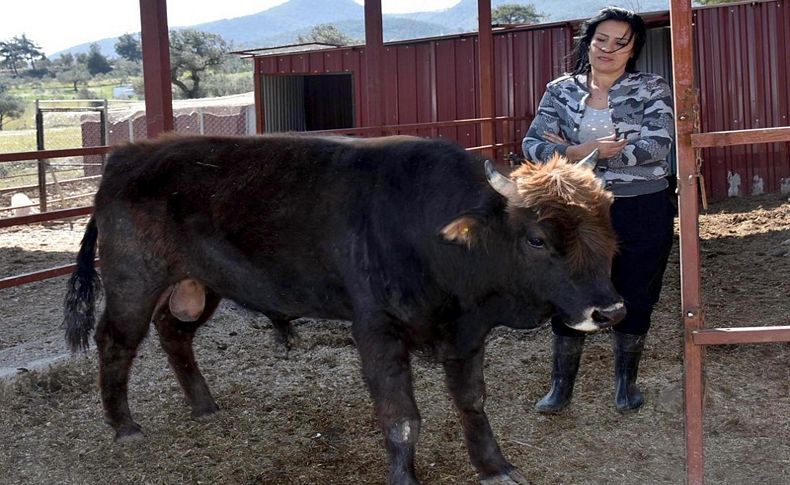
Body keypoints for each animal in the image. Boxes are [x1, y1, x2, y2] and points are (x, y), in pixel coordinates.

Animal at [63, 133, 624, 484]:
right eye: (536, 239)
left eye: (606, 224)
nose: (611, 311)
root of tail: (126, 157)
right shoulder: (375, 329)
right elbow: (401, 417)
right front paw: (405, 477)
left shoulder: (466, 334)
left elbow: (472, 402)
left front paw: (494, 467)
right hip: (133, 282)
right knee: (116, 342)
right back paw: (124, 427)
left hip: (198, 284)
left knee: (173, 331)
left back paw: (203, 404)